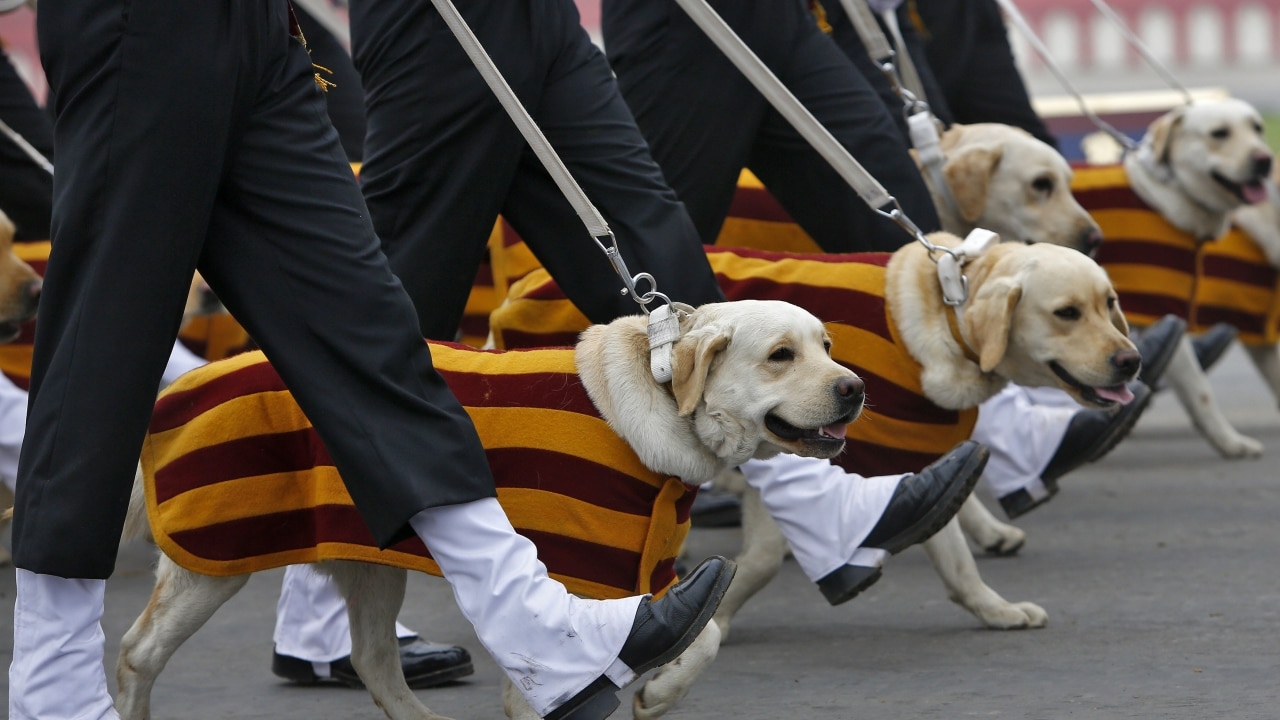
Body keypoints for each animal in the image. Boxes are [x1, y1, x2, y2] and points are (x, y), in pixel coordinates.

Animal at [115, 295, 865, 717]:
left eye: (828, 346)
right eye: (780, 355)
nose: (855, 389)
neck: (653, 398)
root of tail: (174, 392)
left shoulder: (648, 575)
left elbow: (703, 634)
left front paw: (658, 694)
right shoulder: (578, 581)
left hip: (371, 565)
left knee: (374, 662)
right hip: (210, 562)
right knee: (134, 653)